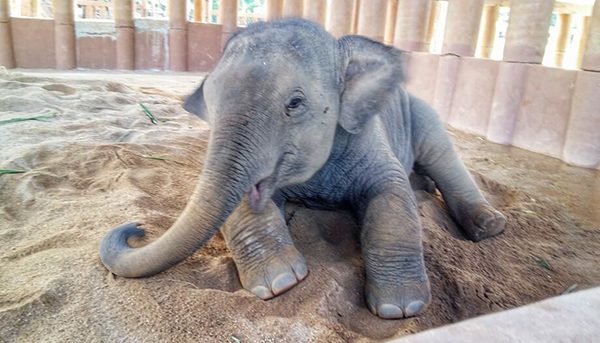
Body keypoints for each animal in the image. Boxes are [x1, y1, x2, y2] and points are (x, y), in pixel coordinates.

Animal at [99, 18, 506, 320]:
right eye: (208, 106)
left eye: (294, 103)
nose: (137, 230)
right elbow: (239, 200)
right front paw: (280, 281)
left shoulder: (366, 134)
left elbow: (391, 197)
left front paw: (401, 308)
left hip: (422, 114)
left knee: (443, 158)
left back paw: (489, 226)